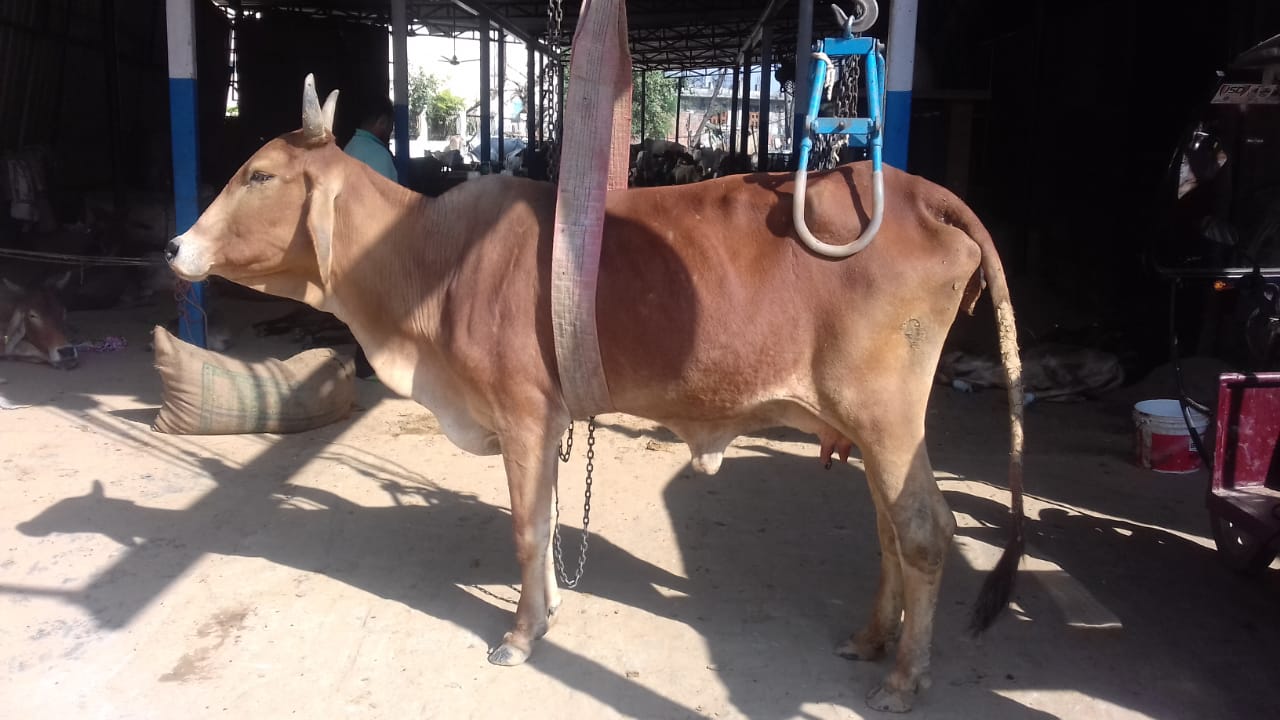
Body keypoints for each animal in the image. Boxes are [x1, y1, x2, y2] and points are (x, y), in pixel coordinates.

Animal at [165, 74, 1024, 712]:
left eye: (260, 175)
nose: (176, 246)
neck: (431, 260)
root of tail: (912, 192)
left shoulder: (522, 416)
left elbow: (522, 530)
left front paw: (518, 637)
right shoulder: (544, 427)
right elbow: (545, 525)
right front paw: (544, 616)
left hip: (886, 417)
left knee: (924, 531)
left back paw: (904, 677)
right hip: (868, 427)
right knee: (889, 531)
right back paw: (873, 639)